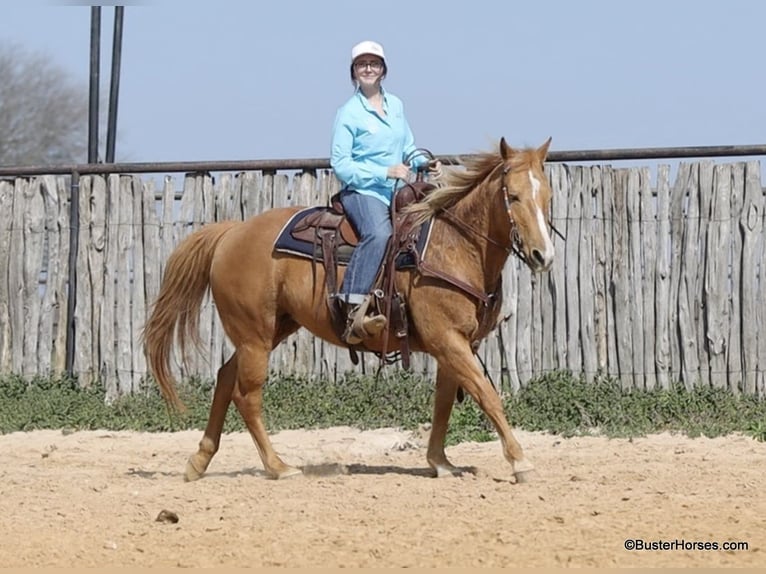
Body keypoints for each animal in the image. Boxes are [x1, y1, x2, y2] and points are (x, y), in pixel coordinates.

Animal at [143, 136, 555, 483]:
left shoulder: (459, 344)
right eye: (513, 196)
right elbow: (487, 394)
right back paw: (279, 467)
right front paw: (521, 462)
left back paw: (199, 461)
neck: (452, 245)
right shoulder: (447, 341)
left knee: (226, 378)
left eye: (547, 196)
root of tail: (231, 232)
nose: (543, 255)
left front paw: (440, 462)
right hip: (255, 337)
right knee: (247, 395)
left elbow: (444, 403)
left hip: (270, 330)